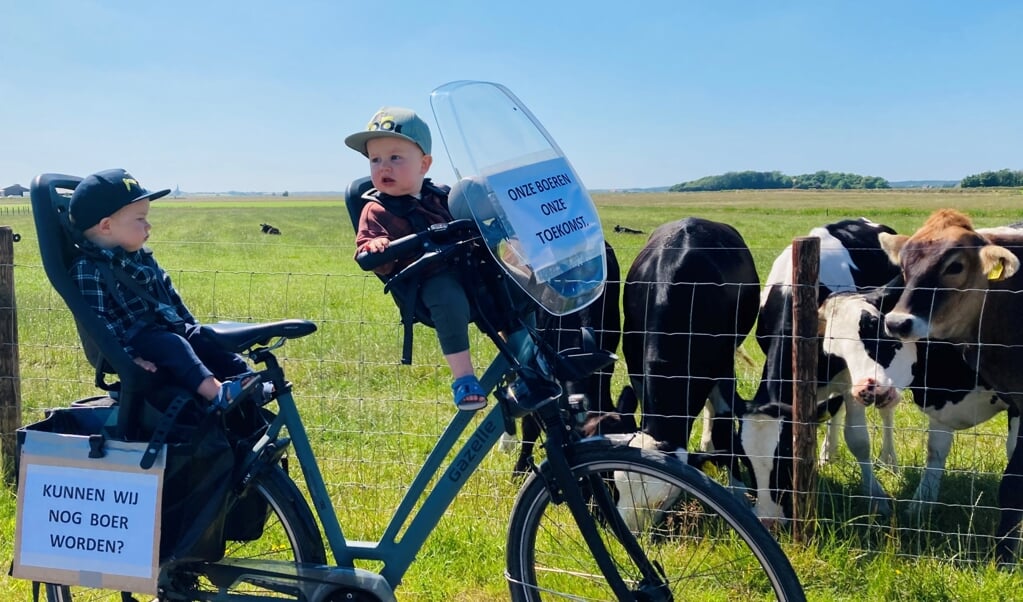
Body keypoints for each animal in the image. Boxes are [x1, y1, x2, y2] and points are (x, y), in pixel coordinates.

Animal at [744, 217, 904, 522]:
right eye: (745, 462)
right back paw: (828, 454)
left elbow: (858, 440)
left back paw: (889, 460)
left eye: (785, 457)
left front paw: (877, 498)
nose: (768, 520)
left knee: (886, 409)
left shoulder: (852, 379)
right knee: (834, 410)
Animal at [875, 207, 1023, 565]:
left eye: (955, 266)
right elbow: (936, 449)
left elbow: (1013, 480)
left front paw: (1006, 556)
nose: (897, 322)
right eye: (904, 266)